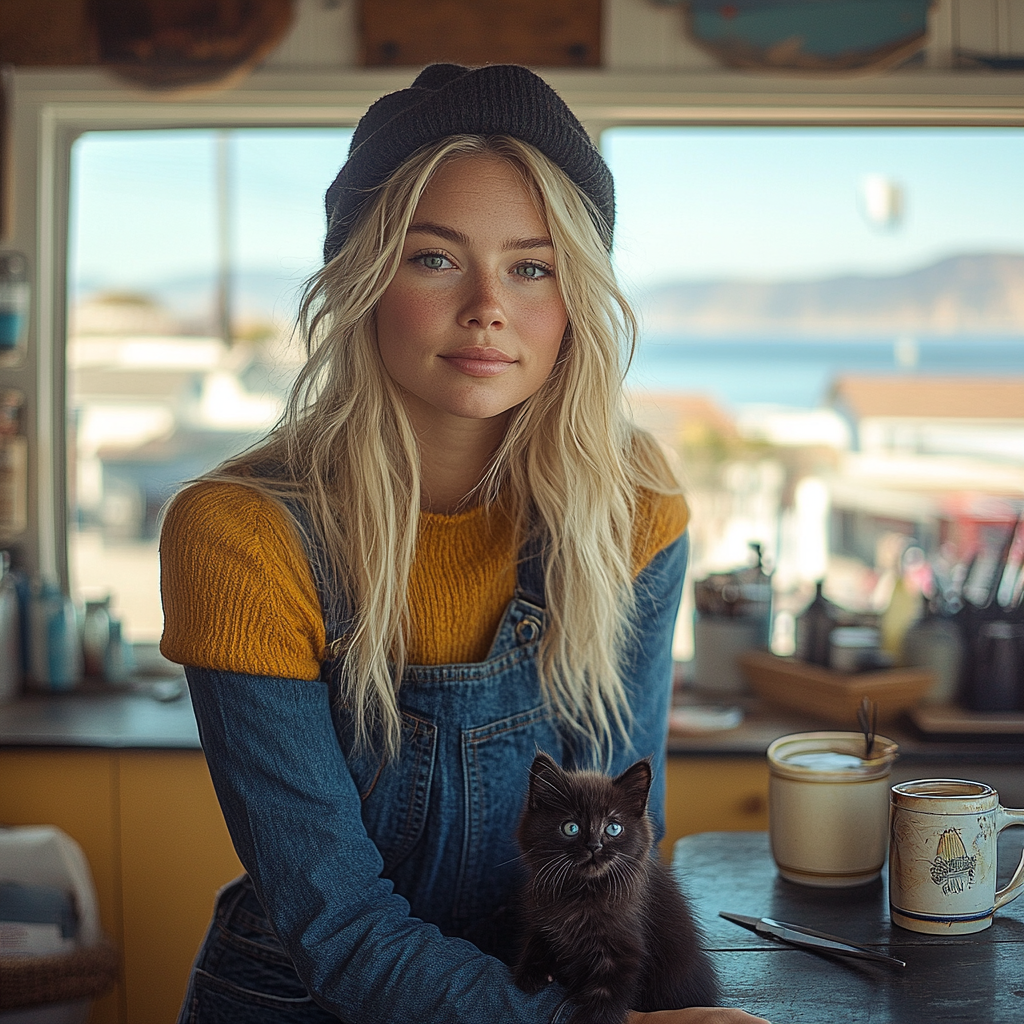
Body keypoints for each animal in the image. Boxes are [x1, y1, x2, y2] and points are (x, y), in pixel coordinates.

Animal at [512, 753, 720, 1024]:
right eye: (571, 827)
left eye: (613, 828)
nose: (594, 846)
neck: (581, 893)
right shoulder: (540, 908)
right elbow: (535, 936)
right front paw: (531, 971)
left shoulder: (623, 951)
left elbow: (606, 995)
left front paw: (588, 1019)